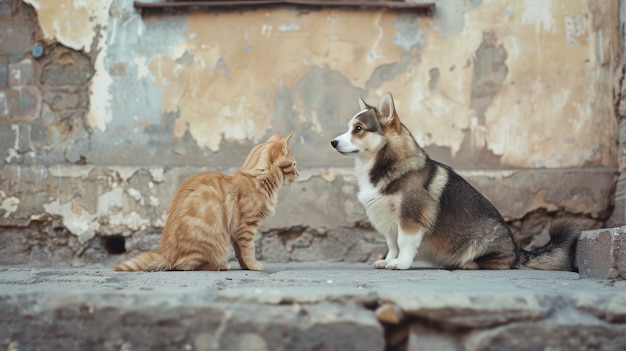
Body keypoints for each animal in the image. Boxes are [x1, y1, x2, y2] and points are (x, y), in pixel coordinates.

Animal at [113, 132, 298, 272]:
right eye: (294, 164)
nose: (298, 174)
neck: (256, 179)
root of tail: (165, 250)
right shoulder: (246, 226)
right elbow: (249, 249)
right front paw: (253, 266)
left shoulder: (235, 232)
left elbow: (239, 252)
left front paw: (245, 266)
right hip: (213, 242)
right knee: (182, 265)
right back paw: (220, 265)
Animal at [330, 92, 576, 270]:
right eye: (349, 127)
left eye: (359, 129)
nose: (332, 142)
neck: (384, 163)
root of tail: (518, 250)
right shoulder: (387, 221)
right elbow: (392, 245)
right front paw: (389, 260)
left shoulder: (410, 217)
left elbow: (405, 243)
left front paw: (401, 264)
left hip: (484, 243)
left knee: (499, 264)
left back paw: (468, 264)